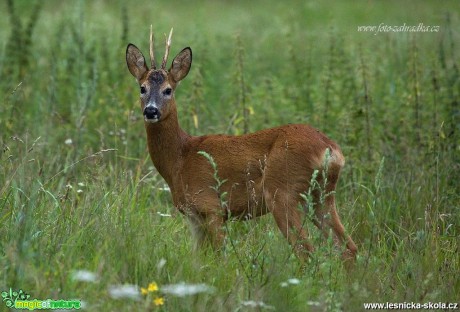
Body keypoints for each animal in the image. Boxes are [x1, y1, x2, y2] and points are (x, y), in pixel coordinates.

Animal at [125, 28, 356, 260]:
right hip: (321, 196)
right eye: (142, 88)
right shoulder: (193, 216)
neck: (180, 158)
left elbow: (219, 257)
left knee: (306, 251)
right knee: (348, 247)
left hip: (283, 192)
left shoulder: (212, 207)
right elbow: (198, 259)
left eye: (168, 90)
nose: (151, 111)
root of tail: (330, 149)